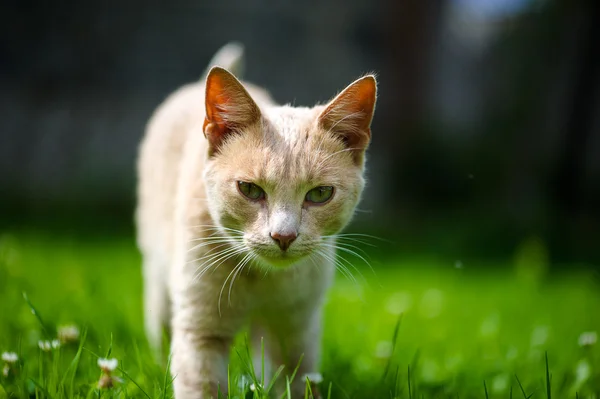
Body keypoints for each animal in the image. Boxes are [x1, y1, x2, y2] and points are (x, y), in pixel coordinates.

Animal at [138, 42, 378, 398]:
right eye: (250, 189)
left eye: (320, 194)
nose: (284, 236)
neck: (262, 279)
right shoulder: (200, 329)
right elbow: (200, 384)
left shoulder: (293, 331)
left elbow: (293, 381)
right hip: (159, 274)